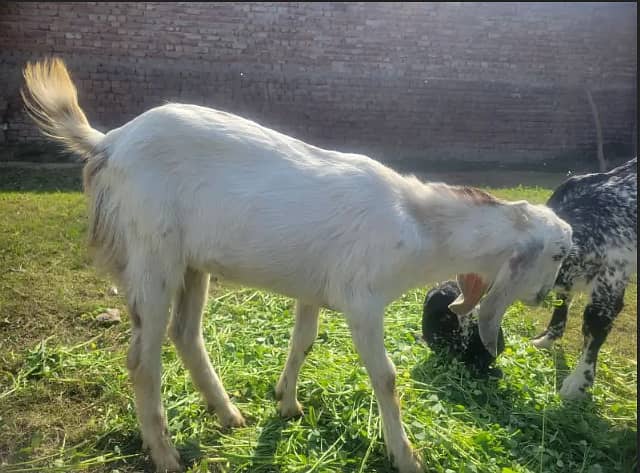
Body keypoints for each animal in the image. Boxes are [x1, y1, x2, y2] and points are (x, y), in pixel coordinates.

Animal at [21, 59, 576, 472]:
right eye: (555, 253)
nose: (547, 297)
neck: (420, 225)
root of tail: (108, 143)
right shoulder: (363, 302)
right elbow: (387, 377)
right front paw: (406, 455)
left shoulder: (315, 290)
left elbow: (302, 342)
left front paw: (286, 402)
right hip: (151, 256)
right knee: (142, 358)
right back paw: (166, 454)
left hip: (191, 264)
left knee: (185, 334)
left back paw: (228, 415)